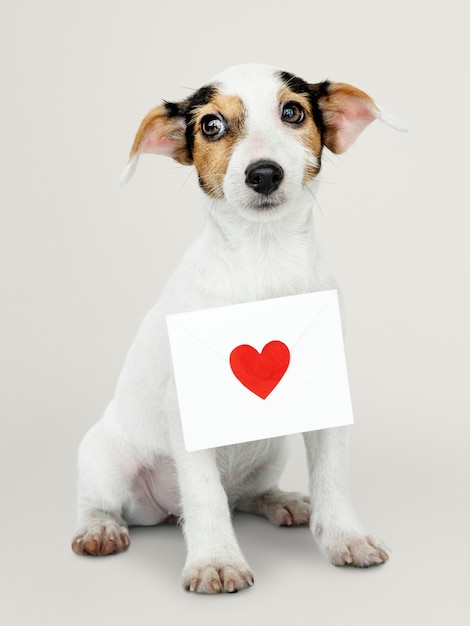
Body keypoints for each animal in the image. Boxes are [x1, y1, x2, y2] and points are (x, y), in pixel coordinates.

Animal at [71, 64, 402, 596]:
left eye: (293, 112)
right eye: (211, 125)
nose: (263, 173)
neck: (263, 258)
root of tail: (165, 512)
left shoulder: (327, 390)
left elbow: (332, 476)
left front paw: (344, 536)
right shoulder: (186, 407)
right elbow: (203, 495)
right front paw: (216, 560)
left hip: (270, 451)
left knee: (241, 495)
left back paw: (281, 500)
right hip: (106, 461)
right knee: (108, 501)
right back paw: (100, 528)